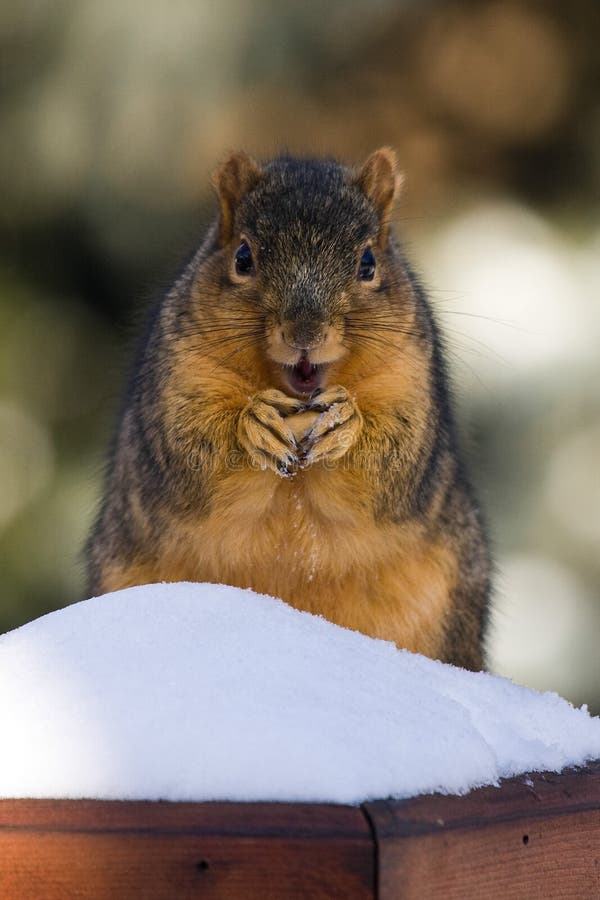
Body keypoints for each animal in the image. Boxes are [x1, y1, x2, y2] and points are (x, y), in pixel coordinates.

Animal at [85, 146, 492, 668]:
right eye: (243, 257)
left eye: (368, 262)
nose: (305, 332)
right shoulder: (176, 378)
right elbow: (188, 447)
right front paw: (253, 423)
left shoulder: (411, 382)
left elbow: (397, 462)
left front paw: (346, 423)